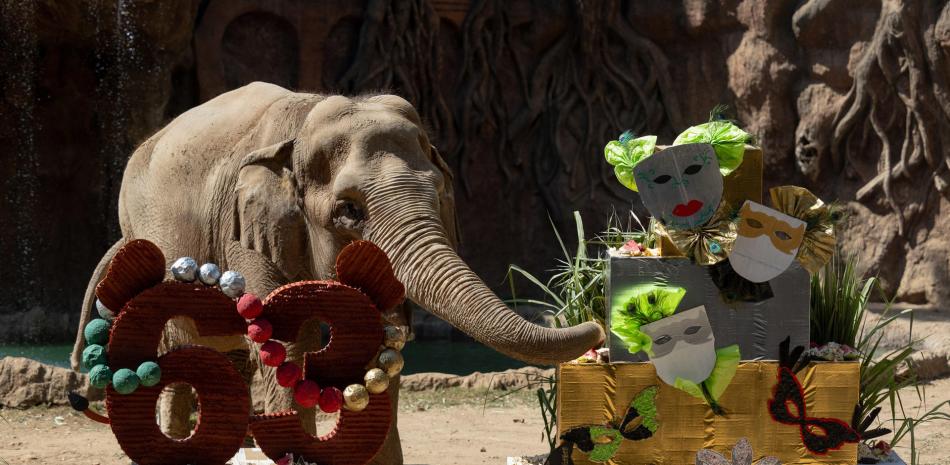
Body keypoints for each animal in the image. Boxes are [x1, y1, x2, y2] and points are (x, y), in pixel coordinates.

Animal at [69, 81, 604, 462]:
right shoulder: (250, 235)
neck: (306, 120)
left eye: (438, 194)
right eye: (349, 210)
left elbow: (375, 348)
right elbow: (285, 346)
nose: (594, 321)